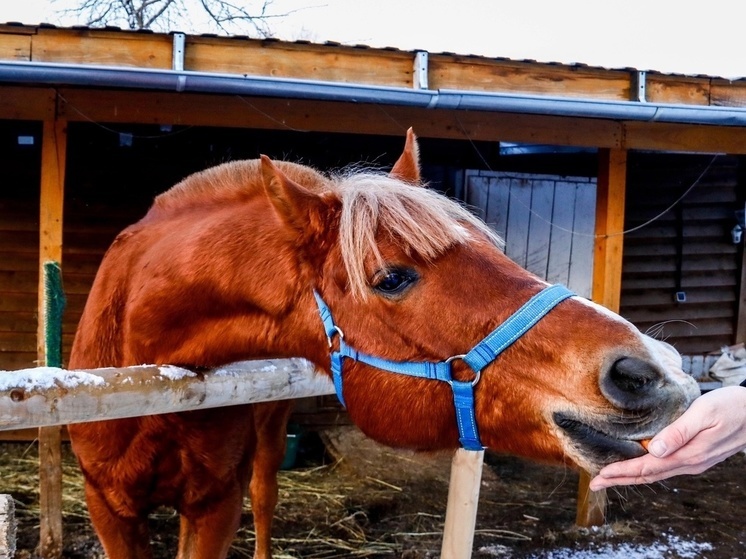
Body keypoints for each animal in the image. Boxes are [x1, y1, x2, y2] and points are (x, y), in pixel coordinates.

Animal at [68, 129, 696, 556]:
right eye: (391, 278)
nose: (650, 372)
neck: (155, 381)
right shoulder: (108, 507)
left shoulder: (214, 504)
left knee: (266, 495)